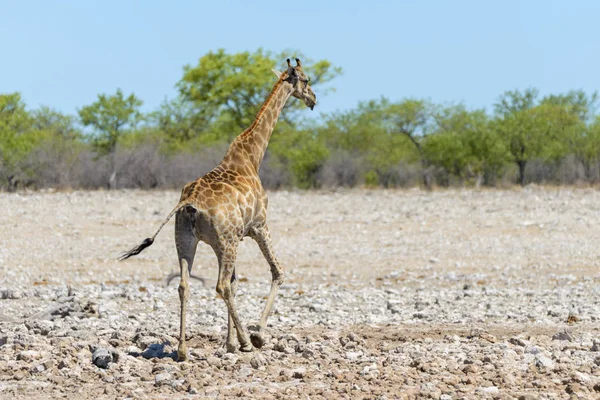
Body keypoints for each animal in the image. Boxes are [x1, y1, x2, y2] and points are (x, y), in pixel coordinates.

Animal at [119, 57, 316, 360]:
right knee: (220, 285)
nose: (313, 99)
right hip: (224, 241)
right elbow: (276, 272)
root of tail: (187, 203)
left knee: (185, 284)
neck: (253, 156)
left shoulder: (231, 239)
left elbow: (235, 283)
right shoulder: (258, 226)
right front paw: (255, 336)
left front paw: (230, 343)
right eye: (306, 80)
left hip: (187, 240)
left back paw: (183, 349)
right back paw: (247, 341)